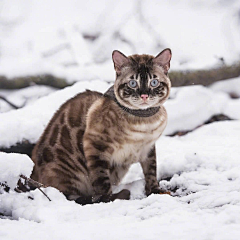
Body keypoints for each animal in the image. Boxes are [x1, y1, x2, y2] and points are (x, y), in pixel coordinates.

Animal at [31, 48, 172, 204]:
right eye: (132, 83)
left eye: (154, 82)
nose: (144, 96)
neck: (145, 123)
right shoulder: (96, 145)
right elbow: (102, 181)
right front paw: (110, 199)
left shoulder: (148, 148)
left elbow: (151, 171)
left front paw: (155, 191)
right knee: (70, 195)